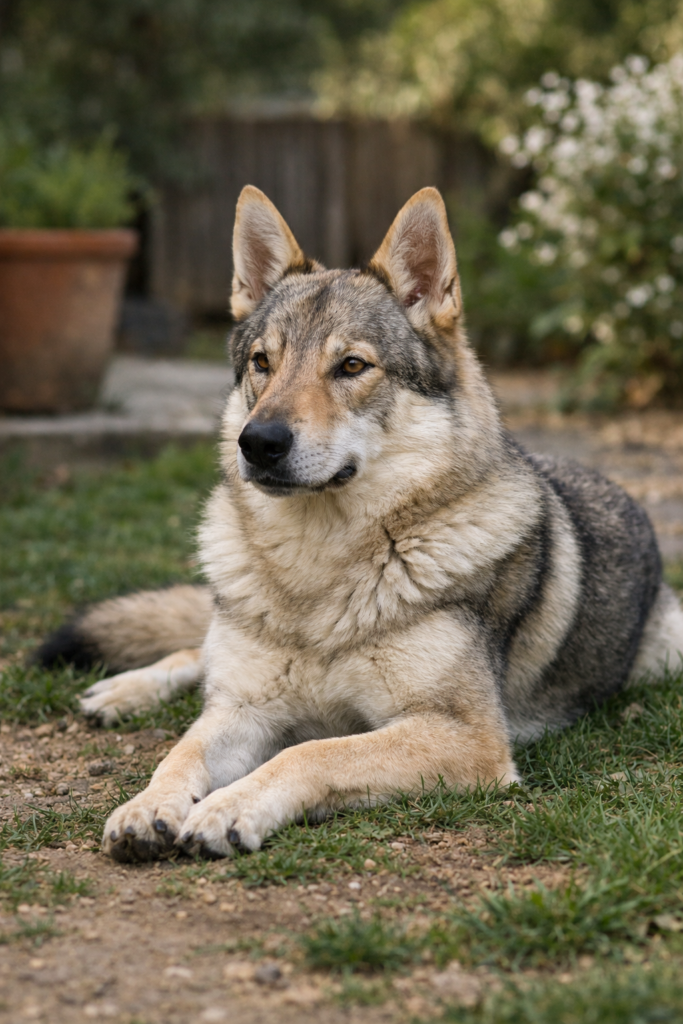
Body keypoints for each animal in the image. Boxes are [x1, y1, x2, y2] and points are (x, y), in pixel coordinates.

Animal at [36, 185, 683, 863]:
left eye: (350, 366)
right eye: (262, 363)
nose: (257, 442)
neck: (317, 570)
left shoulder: (464, 737)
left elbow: (309, 751)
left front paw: (228, 808)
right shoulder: (242, 710)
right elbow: (179, 754)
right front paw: (146, 807)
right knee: (198, 653)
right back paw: (122, 690)